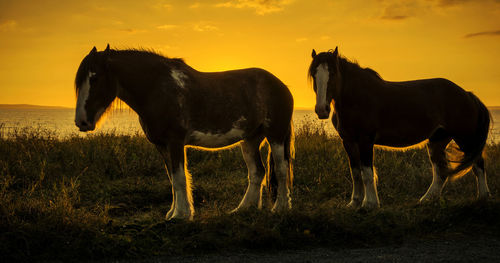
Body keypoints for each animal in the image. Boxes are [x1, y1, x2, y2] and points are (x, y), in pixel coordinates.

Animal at [73, 45, 292, 221]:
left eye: (95, 77)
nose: (81, 121)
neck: (157, 89)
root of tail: (281, 85)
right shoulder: (161, 145)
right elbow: (172, 179)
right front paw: (173, 213)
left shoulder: (175, 142)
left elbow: (179, 177)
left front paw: (181, 215)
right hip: (250, 140)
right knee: (257, 172)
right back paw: (244, 209)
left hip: (276, 135)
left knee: (281, 169)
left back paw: (280, 208)